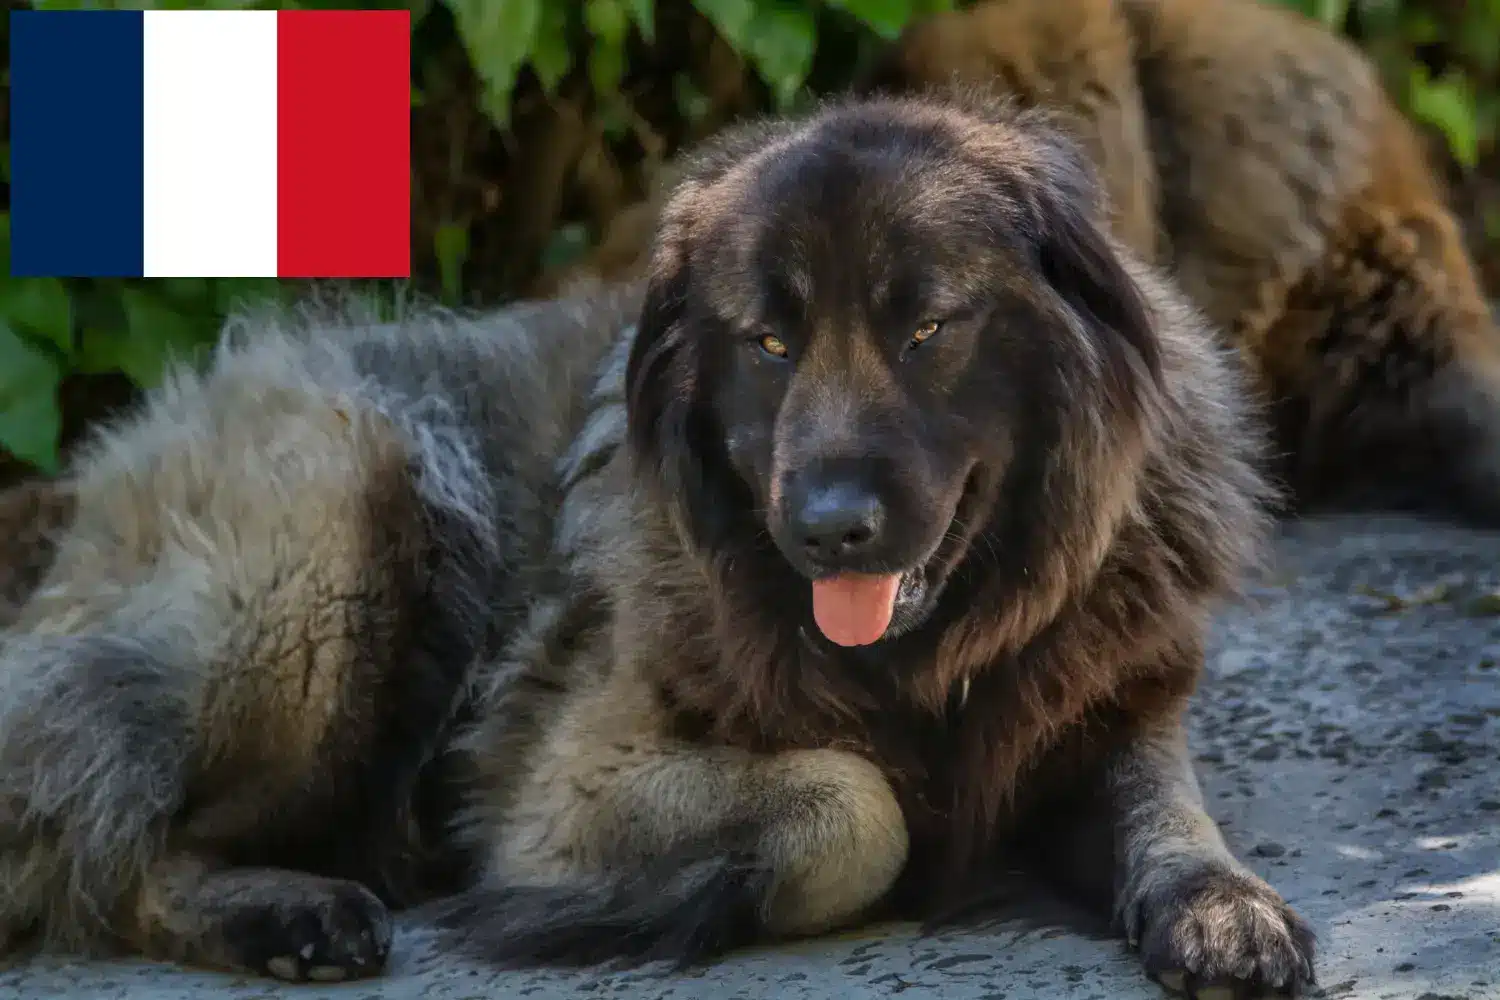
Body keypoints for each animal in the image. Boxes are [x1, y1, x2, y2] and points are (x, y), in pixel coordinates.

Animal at [2, 91, 1314, 995]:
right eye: (769, 343)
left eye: (928, 328)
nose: (830, 529)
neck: (928, 655)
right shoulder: (566, 785)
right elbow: (856, 806)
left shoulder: (1105, 706)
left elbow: (1168, 810)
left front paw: (1221, 902)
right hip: (344, 537)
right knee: (105, 847)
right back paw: (291, 911)